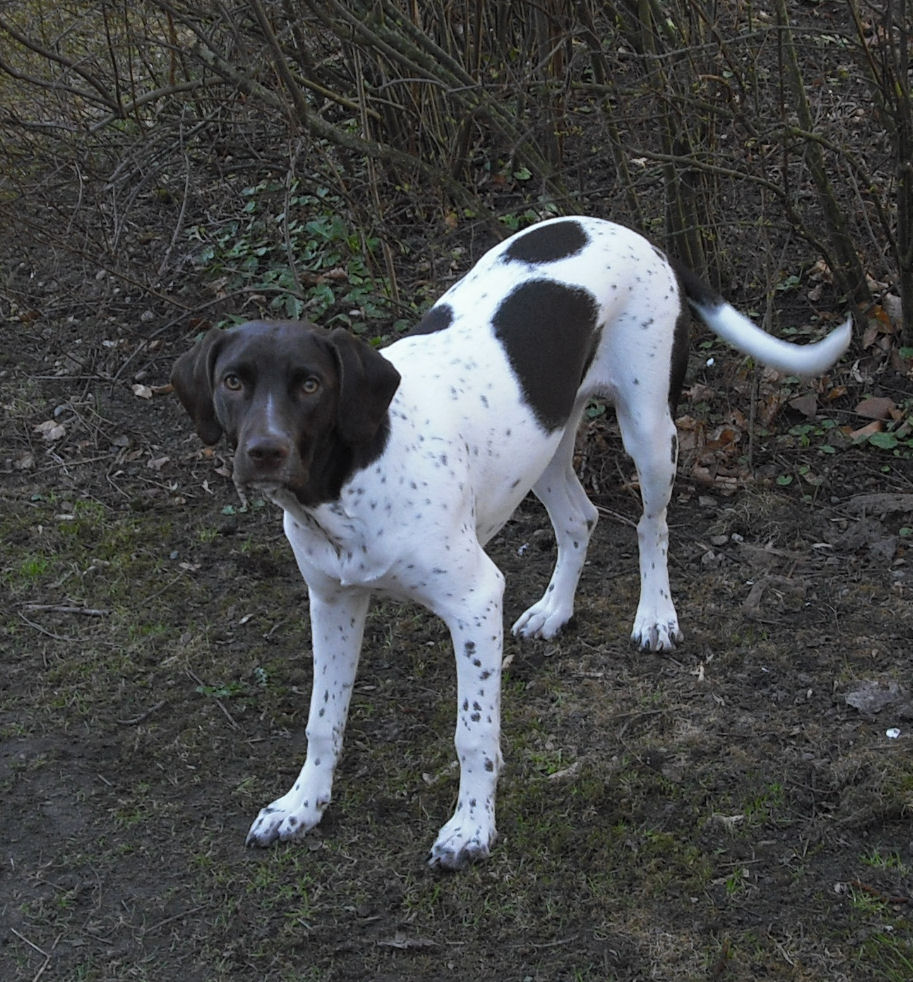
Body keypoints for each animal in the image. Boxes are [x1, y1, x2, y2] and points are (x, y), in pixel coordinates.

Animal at [171, 215, 848, 868]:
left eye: (311, 384)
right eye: (233, 382)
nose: (263, 451)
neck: (352, 480)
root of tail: (639, 234)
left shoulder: (473, 602)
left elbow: (473, 736)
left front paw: (471, 829)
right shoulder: (332, 602)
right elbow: (322, 720)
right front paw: (301, 806)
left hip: (649, 427)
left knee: (651, 525)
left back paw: (655, 615)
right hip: (543, 438)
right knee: (580, 519)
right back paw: (555, 609)